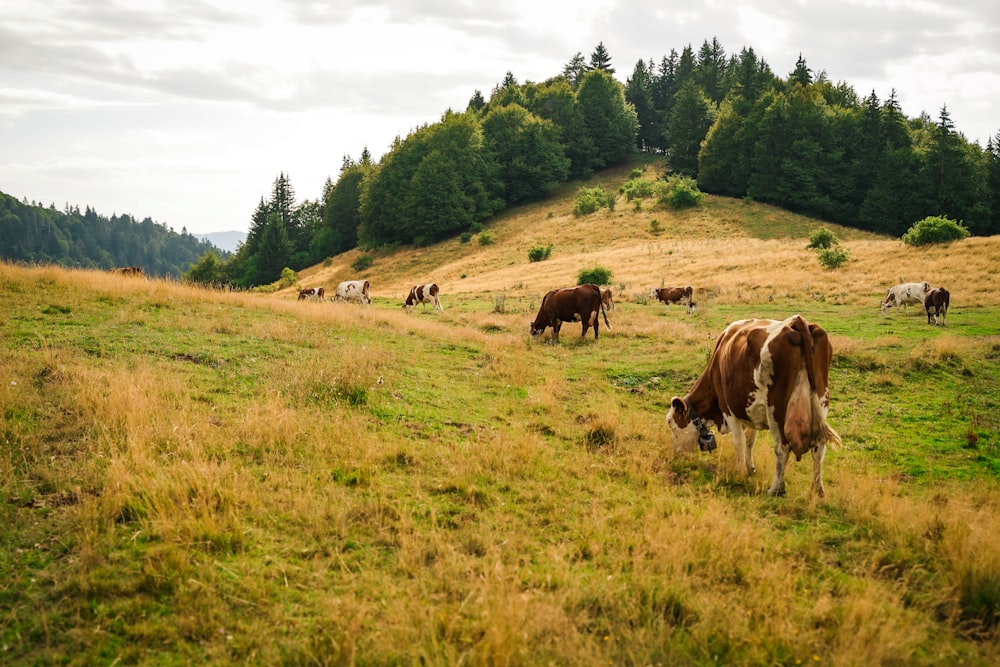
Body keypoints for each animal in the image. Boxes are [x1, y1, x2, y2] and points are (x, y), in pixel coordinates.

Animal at [668, 316, 840, 498]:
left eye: (671, 423)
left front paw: (739, 472)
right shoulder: (752, 411)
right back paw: (817, 491)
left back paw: (776, 489)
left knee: (782, 448)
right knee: (819, 449)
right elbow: (750, 441)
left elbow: (739, 442)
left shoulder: (728, 408)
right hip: (821, 401)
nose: (674, 453)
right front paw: (750, 468)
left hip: (776, 410)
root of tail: (797, 321)